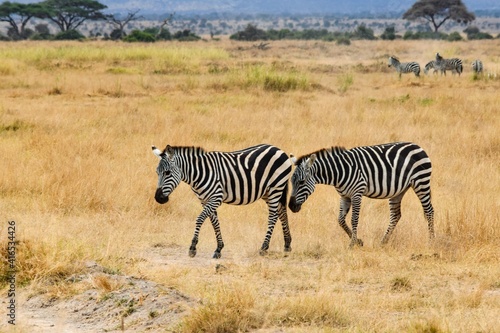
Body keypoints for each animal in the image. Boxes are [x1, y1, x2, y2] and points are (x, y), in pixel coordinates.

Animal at [152, 143, 292, 256]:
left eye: (168, 173)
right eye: (157, 173)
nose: (158, 198)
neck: (200, 173)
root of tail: (278, 149)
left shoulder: (216, 198)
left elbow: (199, 219)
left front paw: (193, 247)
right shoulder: (205, 200)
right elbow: (214, 222)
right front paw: (219, 248)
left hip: (275, 188)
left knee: (273, 216)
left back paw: (264, 248)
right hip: (267, 192)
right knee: (281, 212)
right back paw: (287, 244)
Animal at [290, 141, 434, 246]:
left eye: (301, 182)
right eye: (291, 182)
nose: (291, 206)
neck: (339, 172)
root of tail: (417, 146)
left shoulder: (357, 193)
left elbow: (354, 219)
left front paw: (352, 244)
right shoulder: (344, 196)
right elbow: (340, 220)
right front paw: (358, 241)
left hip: (421, 182)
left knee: (429, 210)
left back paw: (431, 241)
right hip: (398, 190)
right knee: (396, 215)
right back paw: (383, 242)